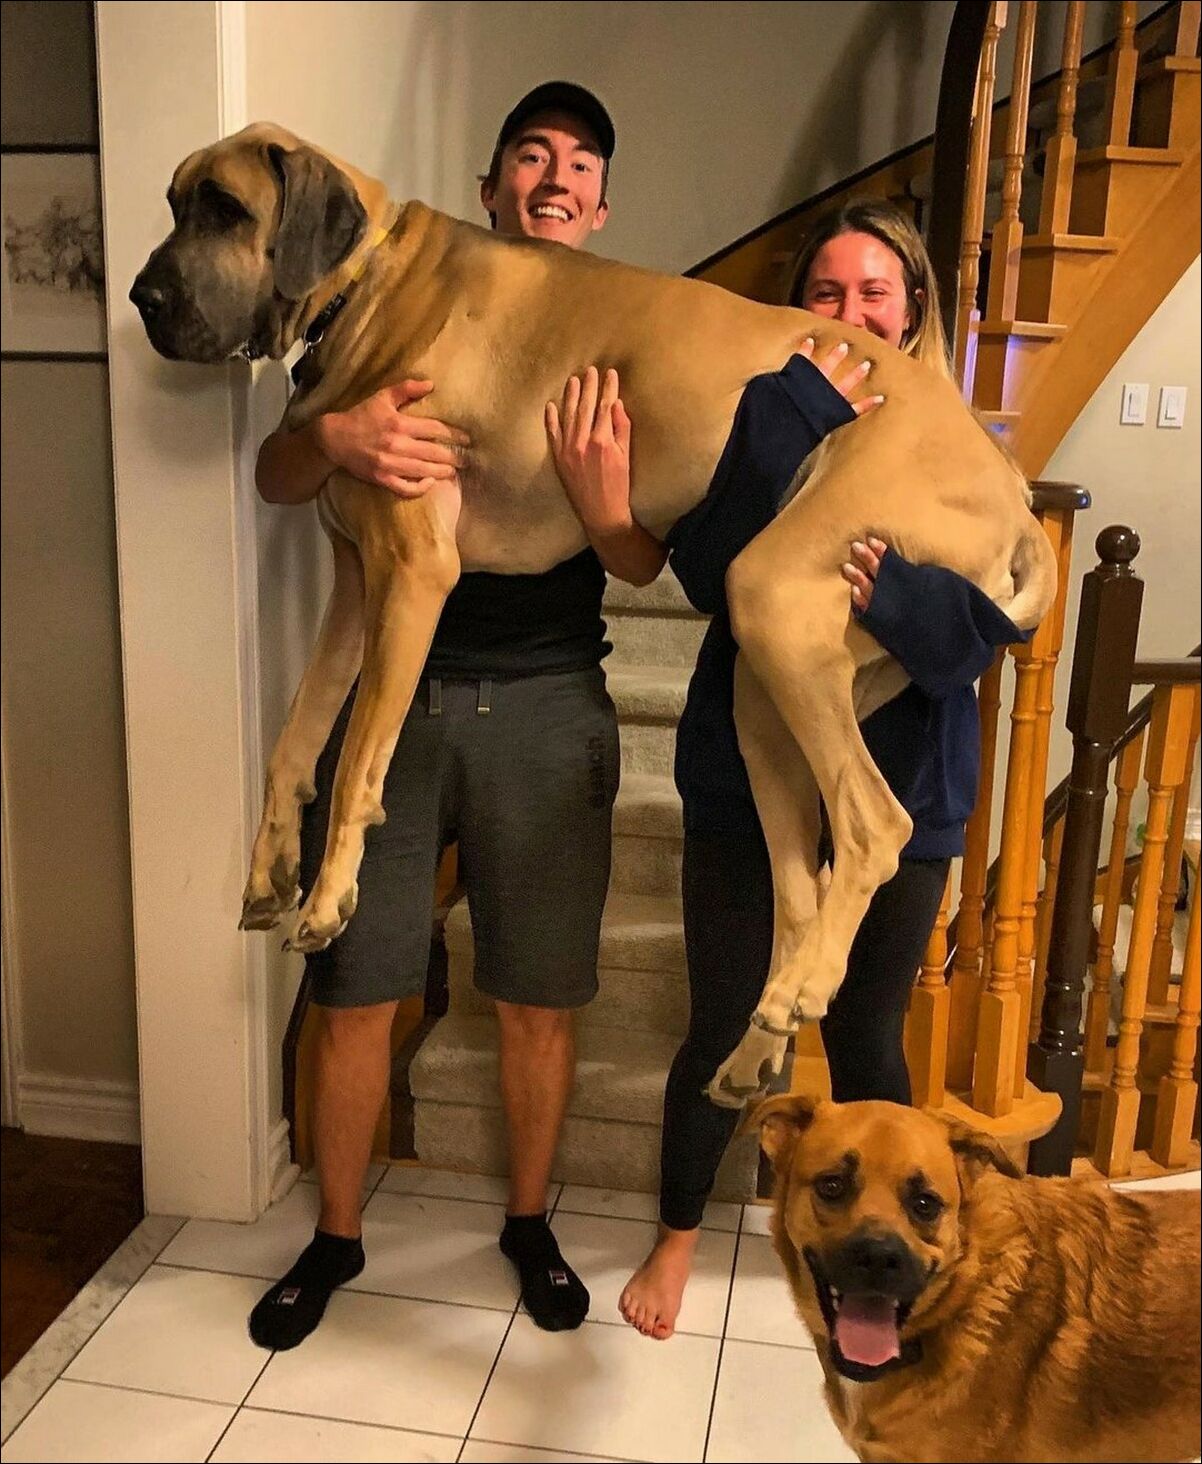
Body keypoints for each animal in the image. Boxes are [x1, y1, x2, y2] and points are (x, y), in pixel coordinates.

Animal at [129, 124, 1057, 1103]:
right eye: (176, 203)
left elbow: (354, 764)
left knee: (878, 825)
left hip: (776, 597)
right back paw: (760, 1042)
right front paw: (271, 868)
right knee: (805, 886)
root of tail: (1012, 489)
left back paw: (800, 992)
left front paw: (328, 896)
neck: (367, 281)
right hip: (769, 680)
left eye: (226, 209)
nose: (141, 299)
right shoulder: (352, 587)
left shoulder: (414, 572)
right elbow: (296, 742)